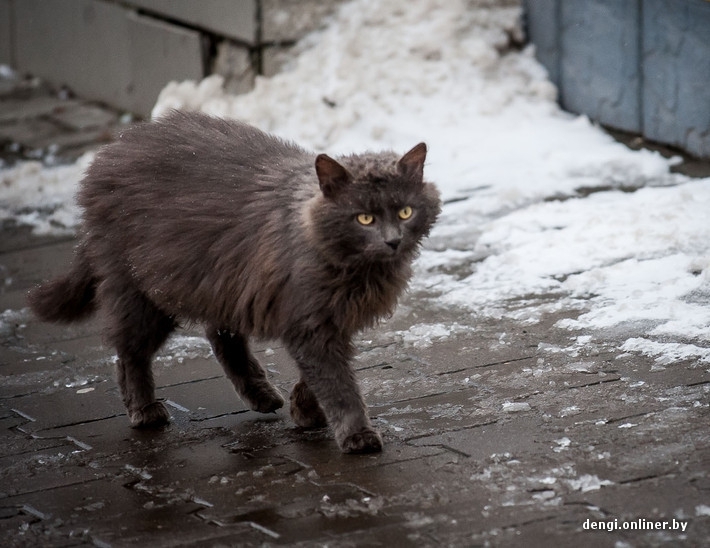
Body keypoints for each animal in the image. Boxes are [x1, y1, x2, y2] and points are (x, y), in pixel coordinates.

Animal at [30, 110, 442, 454]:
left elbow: (317, 377)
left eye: (405, 212)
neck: (356, 268)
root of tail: (114, 147)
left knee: (219, 335)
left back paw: (262, 395)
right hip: (145, 290)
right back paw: (145, 412)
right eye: (364, 219)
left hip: (217, 279)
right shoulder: (311, 323)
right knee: (130, 353)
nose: (393, 240)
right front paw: (357, 434)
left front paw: (304, 410)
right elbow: (338, 385)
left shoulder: (328, 320)